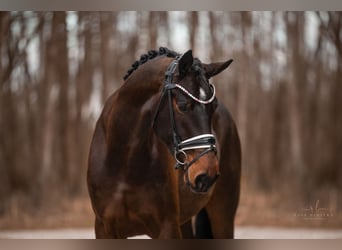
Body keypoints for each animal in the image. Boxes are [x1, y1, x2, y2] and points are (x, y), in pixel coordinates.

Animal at [86, 47, 240, 238]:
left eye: (214, 107)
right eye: (182, 105)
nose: (208, 174)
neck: (123, 160)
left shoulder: (167, 227)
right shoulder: (104, 228)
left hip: (223, 214)